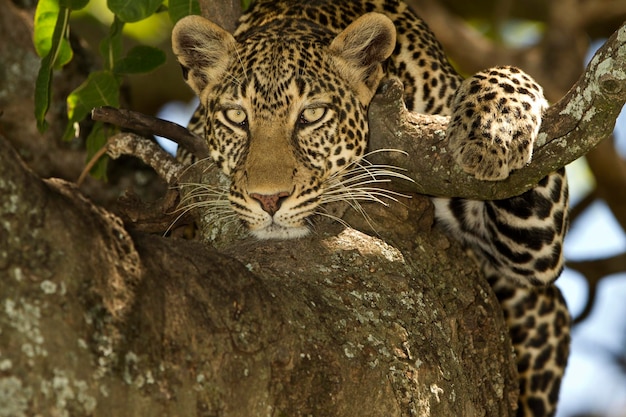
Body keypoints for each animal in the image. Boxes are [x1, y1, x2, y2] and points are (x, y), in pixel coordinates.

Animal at [172, 1, 572, 414]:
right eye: (236, 117)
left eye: (312, 115)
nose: (269, 199)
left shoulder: (534, 246)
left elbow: (508, 73)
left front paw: (496, 132)